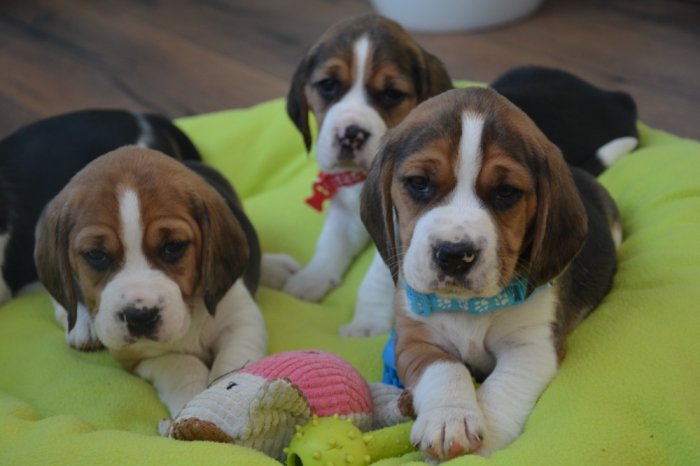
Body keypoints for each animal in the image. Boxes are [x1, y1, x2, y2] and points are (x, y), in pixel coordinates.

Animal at [34, 146, 267, 417]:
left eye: (173, 246)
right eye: (95, 255)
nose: (140, 317)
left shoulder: (242, 323)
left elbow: (233, 364)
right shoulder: (137, 354)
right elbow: (184, 364)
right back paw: (82, 326)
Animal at [284, 13, 453, 336]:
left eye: (392, 94)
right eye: (327, 85)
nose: (351, 134)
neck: (360, 180)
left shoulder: (398, 231)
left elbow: (376, 279)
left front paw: (366, 324)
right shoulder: (344, 216)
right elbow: (330, 244)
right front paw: (310, 280)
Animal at [361, 87, 621, 459]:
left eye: (506, 192)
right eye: (419, 183)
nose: (454, 255)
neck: (468, 306)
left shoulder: (531, 346)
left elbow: (501, 390)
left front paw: (483, 444)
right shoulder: (415, 340)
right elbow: (445, 369)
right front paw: (449, 418)